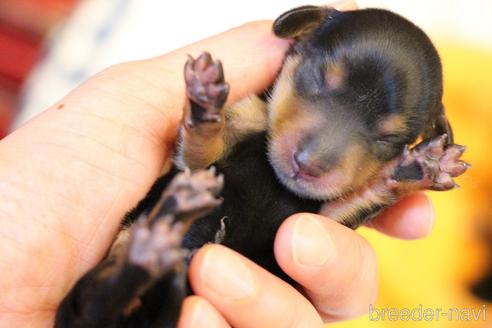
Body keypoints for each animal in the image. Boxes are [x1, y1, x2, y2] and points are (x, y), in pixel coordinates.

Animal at [53, 5, 468, 328]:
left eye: (389, 139)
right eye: (316, 78)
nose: (308, 165)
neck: (276, 180)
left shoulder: (325, 216)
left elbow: (359, 199)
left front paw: (416, 169)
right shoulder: (202, 156)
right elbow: (199, 151)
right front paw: (204, 105)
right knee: (96, 307)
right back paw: (157, 237)